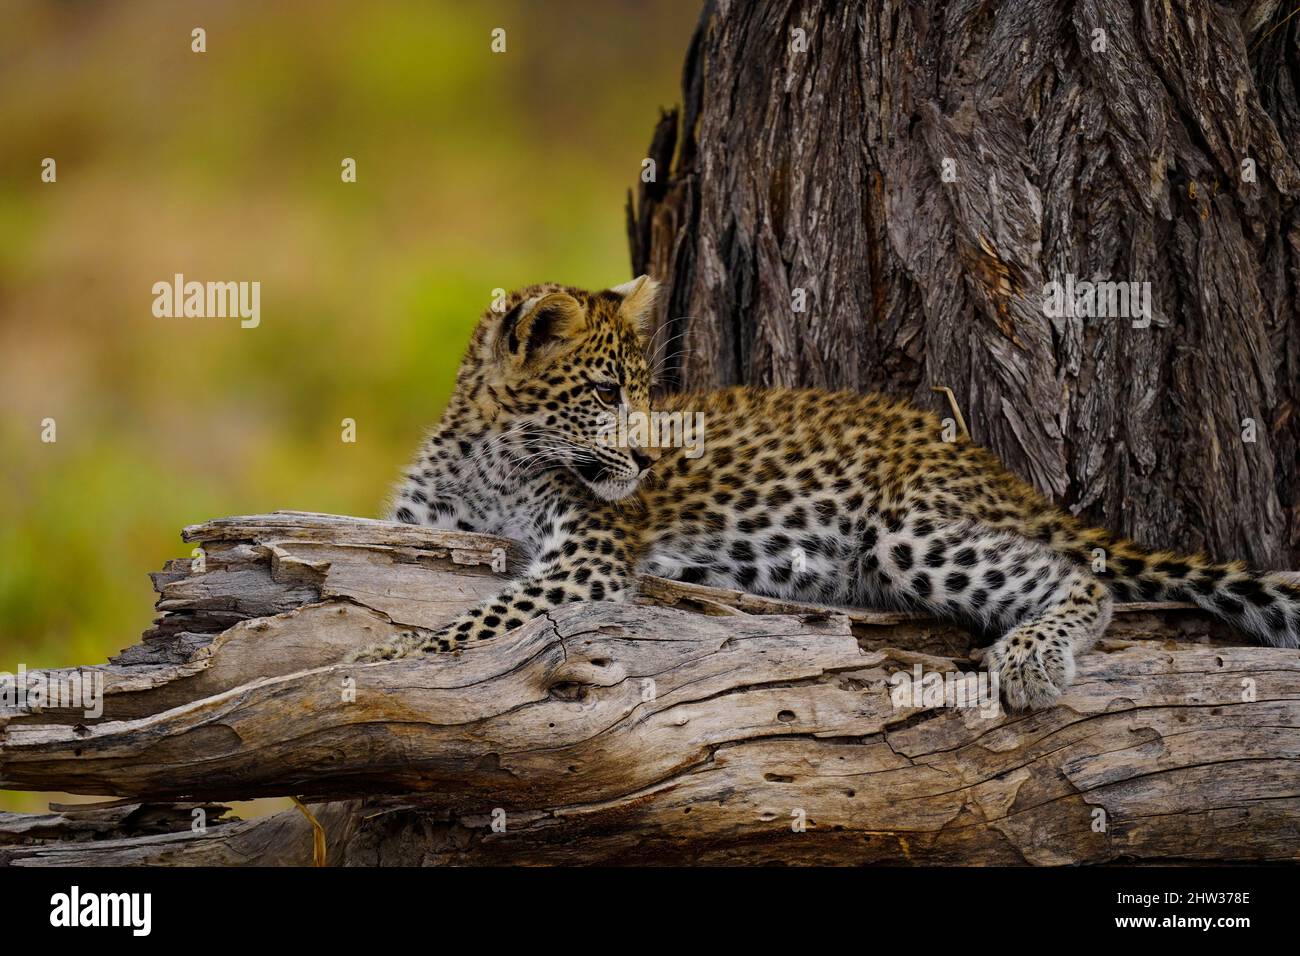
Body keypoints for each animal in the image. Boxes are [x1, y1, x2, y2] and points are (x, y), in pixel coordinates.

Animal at [349, 276, 1300, 710]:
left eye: (650, 393)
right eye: (608, 394)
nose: (652, 462)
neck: (491, 454)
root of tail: (995, 468)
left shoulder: (586, 560)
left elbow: (482, 620)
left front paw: (384, 655)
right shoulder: (423, 523)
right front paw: (385, 649)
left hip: (909, 532)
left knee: (1082, 578)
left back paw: (1031, 658)